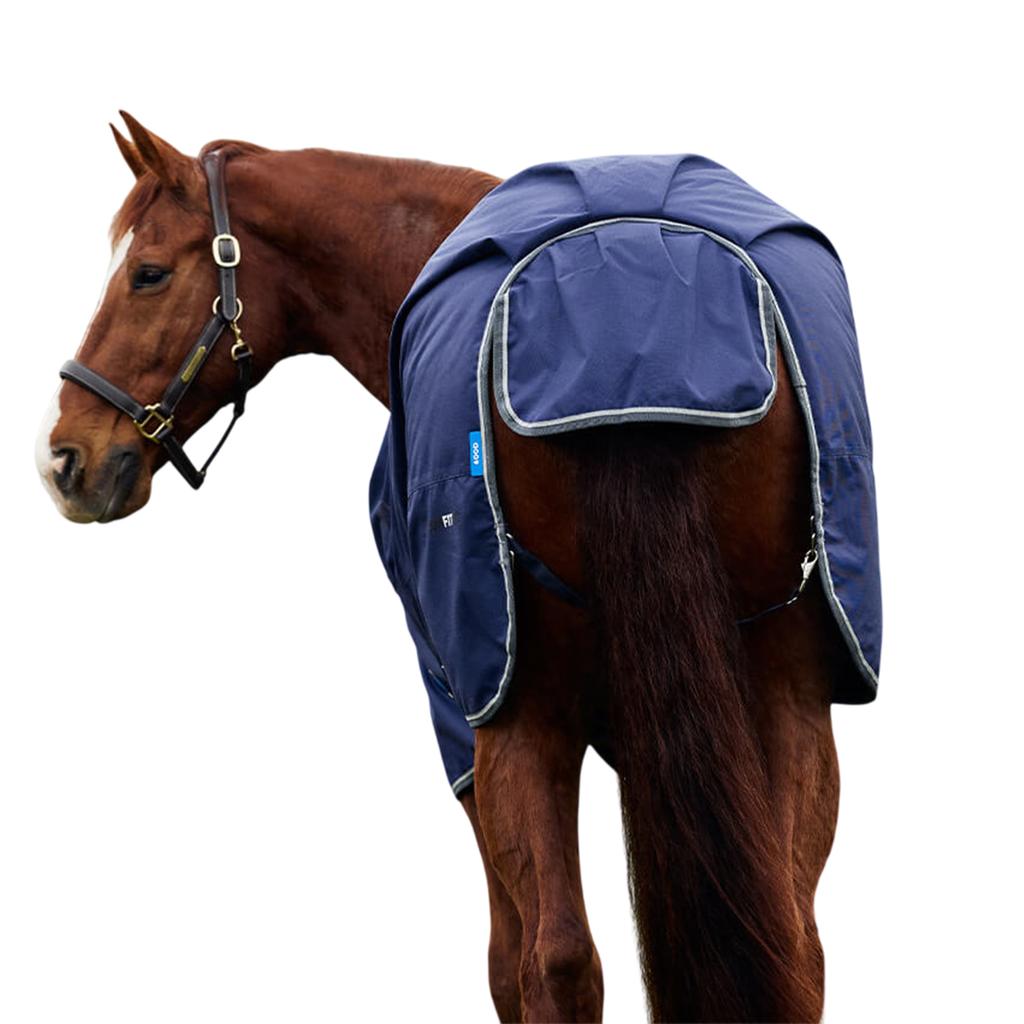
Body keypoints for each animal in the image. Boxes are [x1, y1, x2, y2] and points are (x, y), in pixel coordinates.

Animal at [37, 113, 867, 1023]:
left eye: (147, 273)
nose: (65, 459)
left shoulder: (461, 719)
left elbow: (512, 962)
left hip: (513, 706)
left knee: (556, 961)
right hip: (786, 696)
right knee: (794, 952)